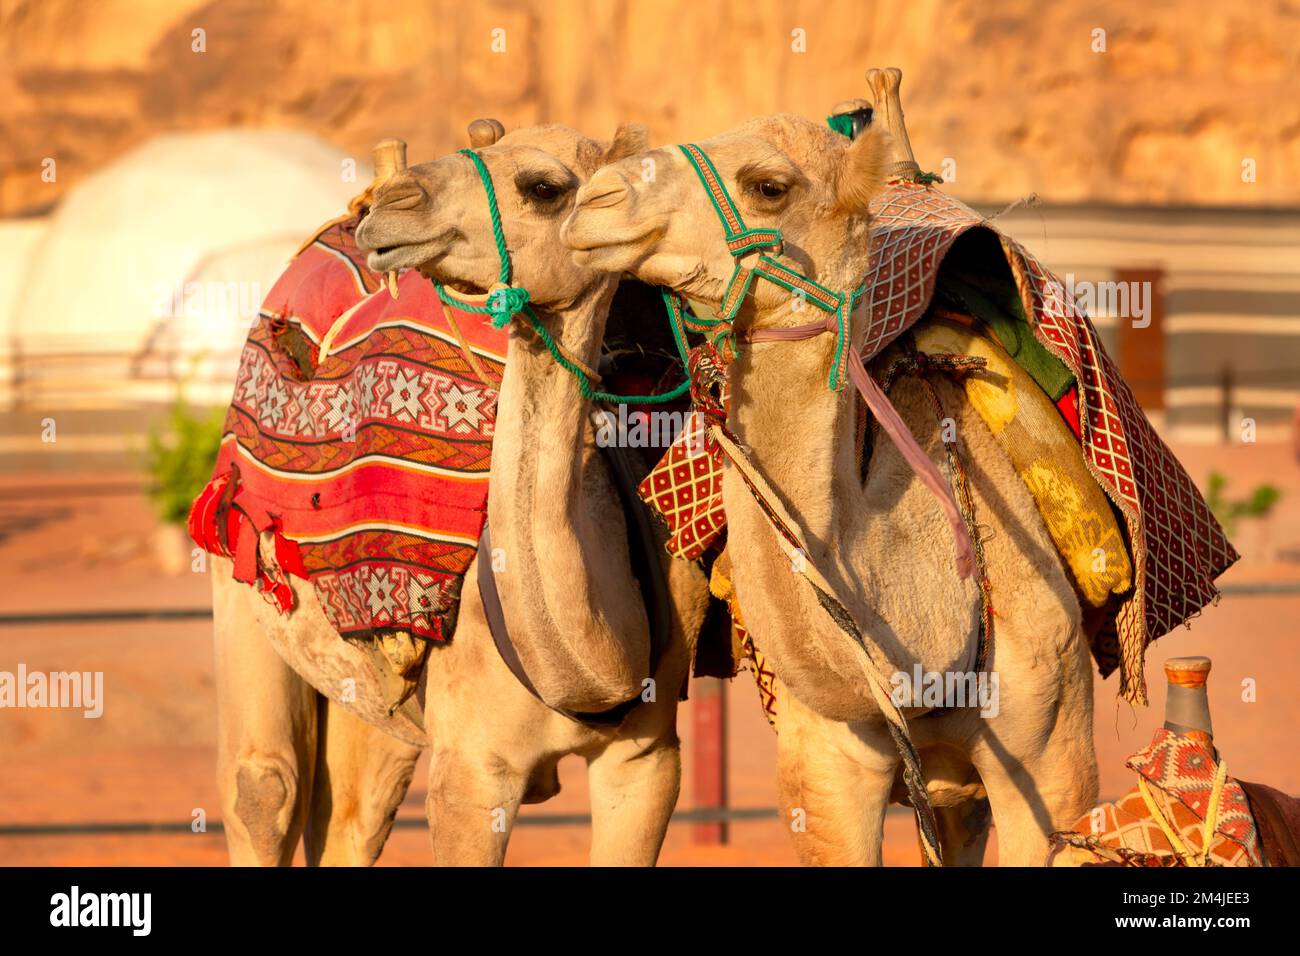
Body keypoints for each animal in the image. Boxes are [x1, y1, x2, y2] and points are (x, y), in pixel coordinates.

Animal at [212, 120, 708, 866]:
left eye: (543, 186)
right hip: (238, 569)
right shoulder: (472, 770)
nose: (390, 205)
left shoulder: (648, 754)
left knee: (354, 816)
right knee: (265, 789)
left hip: (373, 701)